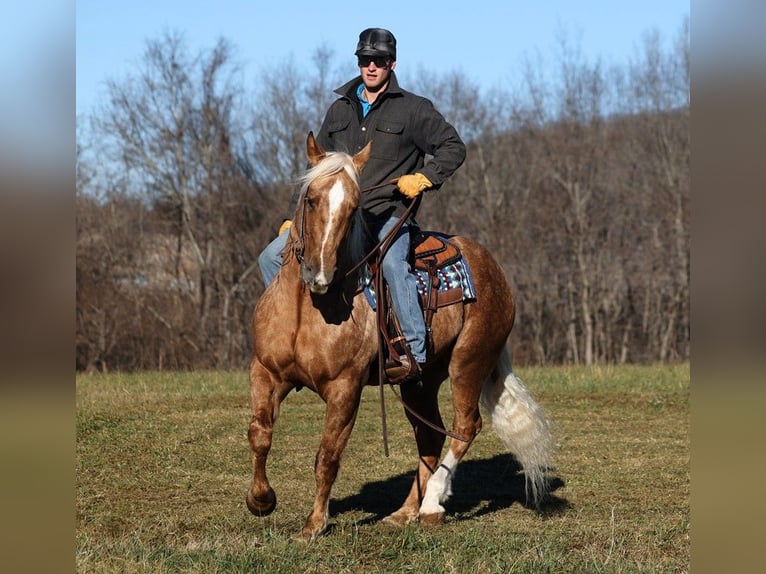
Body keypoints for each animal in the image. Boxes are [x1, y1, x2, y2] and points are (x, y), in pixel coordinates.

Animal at [246, 132, 554, 541]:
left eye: (353, 208)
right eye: (310, 199)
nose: (319, 273)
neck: (306, 309)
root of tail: (493, 267)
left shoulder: (345, 388)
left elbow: (327, 456)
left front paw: (313, 525)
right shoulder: (266, 372)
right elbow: (260, 433)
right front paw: (260, 500)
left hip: (469, 363)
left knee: (464, 427)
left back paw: (432, 503)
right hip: (419, 382)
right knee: (431, 437)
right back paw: (405, 511)